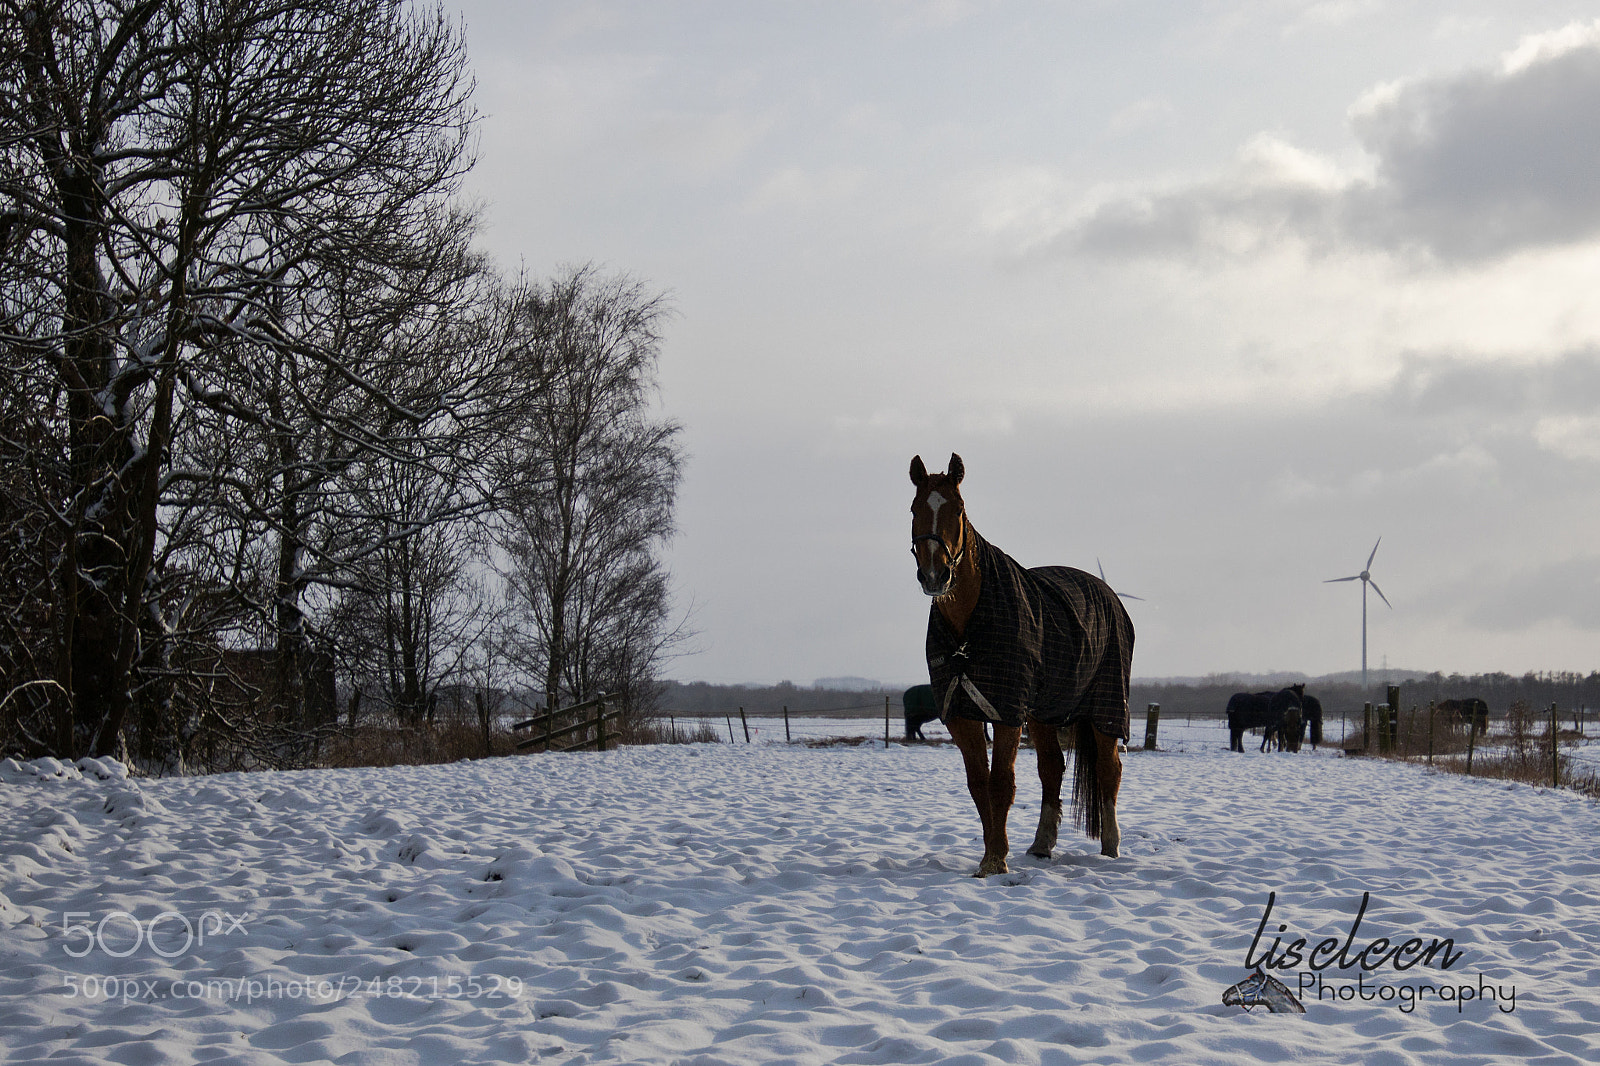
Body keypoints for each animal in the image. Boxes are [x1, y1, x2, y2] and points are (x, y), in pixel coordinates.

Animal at [910, 453, 1134, 875]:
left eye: (958, 509)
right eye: (915, 509)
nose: (935, 575)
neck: (969, 627)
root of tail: (1108, 593)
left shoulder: (1007, 711)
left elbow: (1001, 783)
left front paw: (996, 860)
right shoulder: (962, 712)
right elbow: (979, 784)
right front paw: (989, 855)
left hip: (1107, 707)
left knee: (1108, 770)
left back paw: (1111, 846)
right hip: (1045, 712)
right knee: (1052, 769)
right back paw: (1042, 844)